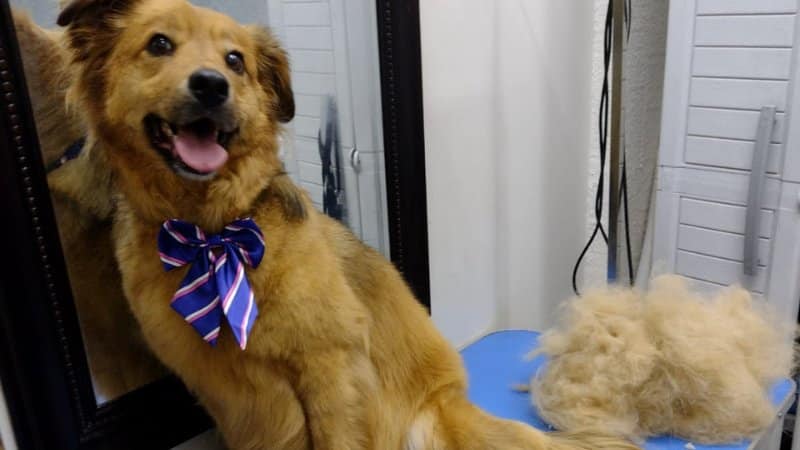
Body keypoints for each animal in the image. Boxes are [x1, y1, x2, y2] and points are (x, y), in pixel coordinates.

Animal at [53, 1, 640, 448]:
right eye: (159, 45)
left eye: (235, 60)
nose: (212, 85)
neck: (214, 234)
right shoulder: (232, 397)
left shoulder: (330, 368)